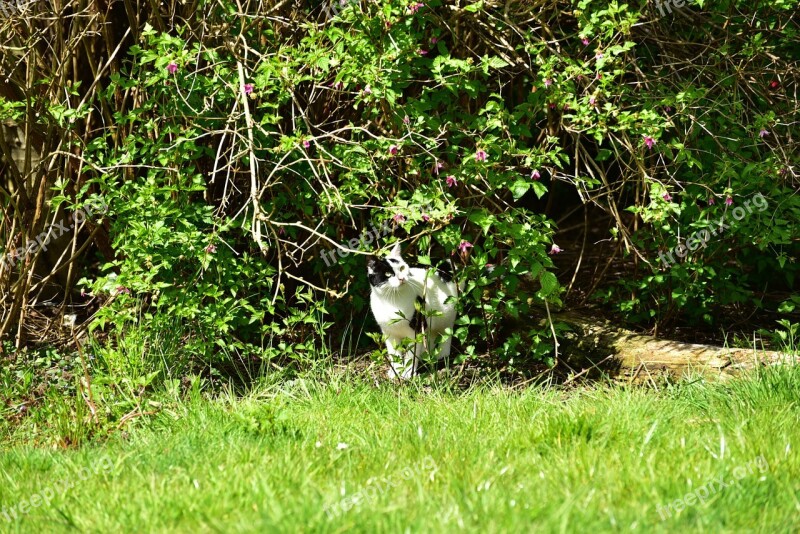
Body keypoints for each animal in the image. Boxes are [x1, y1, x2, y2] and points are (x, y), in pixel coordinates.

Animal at [368, 243, 460, 382]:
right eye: (388, 274)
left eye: (402, 268)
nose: (401, 278)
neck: (393, 300)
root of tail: (443, 269)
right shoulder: (389, 333)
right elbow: (394, 353)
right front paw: (396, 372)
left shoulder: (416, 332)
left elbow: (412, 354)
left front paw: (408, 373)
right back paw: (427, 355)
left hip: (446, 319)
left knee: (445, 335)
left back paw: (440, 356)